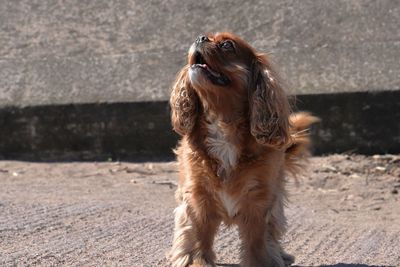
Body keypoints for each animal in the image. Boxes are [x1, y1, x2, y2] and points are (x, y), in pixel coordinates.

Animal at [169, 33, 318, 267]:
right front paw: (197, 262)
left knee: (273, 232)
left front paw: (262, 262)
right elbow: (199, 234)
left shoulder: (259, 199)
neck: (223, 123)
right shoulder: (197, 194)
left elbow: (257, 239)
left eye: (227, 45)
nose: (200, 37)